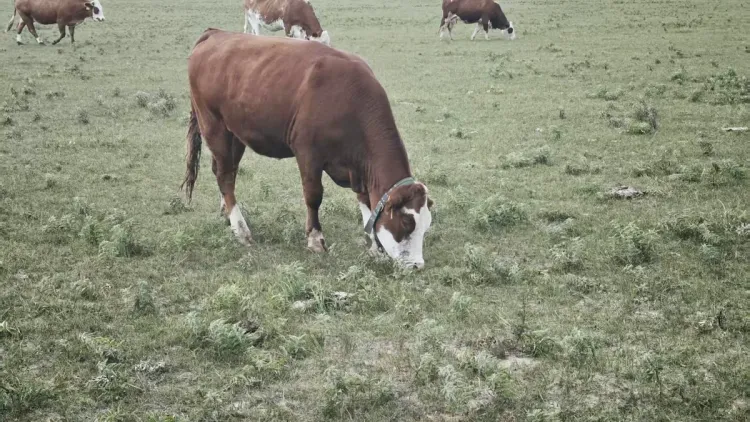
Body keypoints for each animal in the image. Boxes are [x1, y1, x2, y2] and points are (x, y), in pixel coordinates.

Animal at [182, 29, 434, 269]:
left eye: (426, 225)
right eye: (407, 223)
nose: (416, 266)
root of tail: (216, 33)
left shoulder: (358, 167)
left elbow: (365, 200)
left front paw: (373, 245)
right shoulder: (308, 154)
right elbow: (314, 196)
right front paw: (315, 240)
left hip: (235, 133)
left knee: (226, 171)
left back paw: (226, 214)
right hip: (213, 125)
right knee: (224, 175)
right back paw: (241, 230)